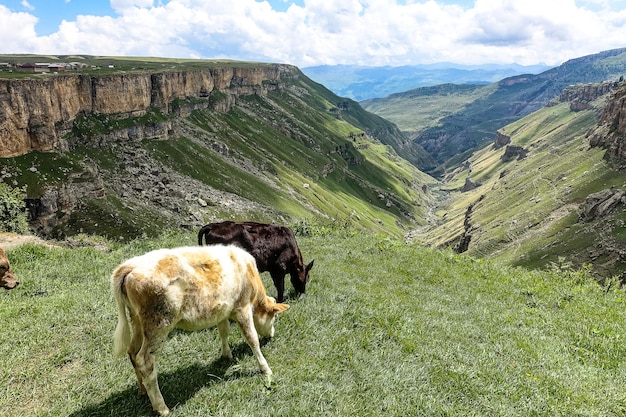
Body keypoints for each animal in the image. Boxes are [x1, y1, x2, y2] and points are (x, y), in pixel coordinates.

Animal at [110, 242, 290, 414]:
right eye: (274, 317)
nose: (271, 335)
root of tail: (129, 265)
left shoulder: (222, 311)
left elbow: (223, 331)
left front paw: (227, 355)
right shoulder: (242, 308)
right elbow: (252, 339)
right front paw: (265, 369)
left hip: (138, 322)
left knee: (132, 352)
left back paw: (143, 391)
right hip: (158, 325)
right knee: (145, 361)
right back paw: (161, 407)